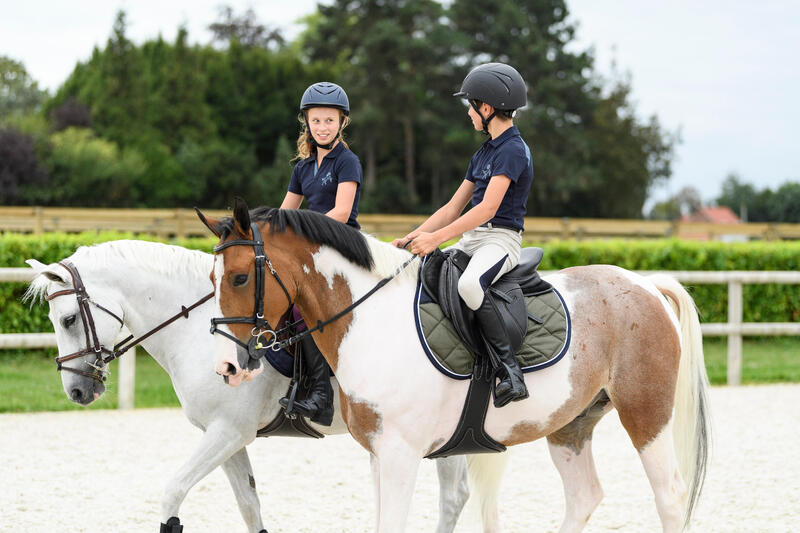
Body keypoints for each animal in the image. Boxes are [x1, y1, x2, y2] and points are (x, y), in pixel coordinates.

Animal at [26, 240, 506, 532]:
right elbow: (249, 505)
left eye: (67, 320)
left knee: (452, 498)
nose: (77, 392)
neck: (200, 329)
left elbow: (173, 491)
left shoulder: (227, 432)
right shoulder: (228, 436)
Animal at [198, 201, 712, 532]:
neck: (371, 318)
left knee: (670, 495)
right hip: (571, 423)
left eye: (240, 277)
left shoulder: (400, 455)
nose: (226, 366)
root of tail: (646, 284)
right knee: (585, 496)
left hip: (646, 413)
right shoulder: (379, 455)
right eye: (211, 278)